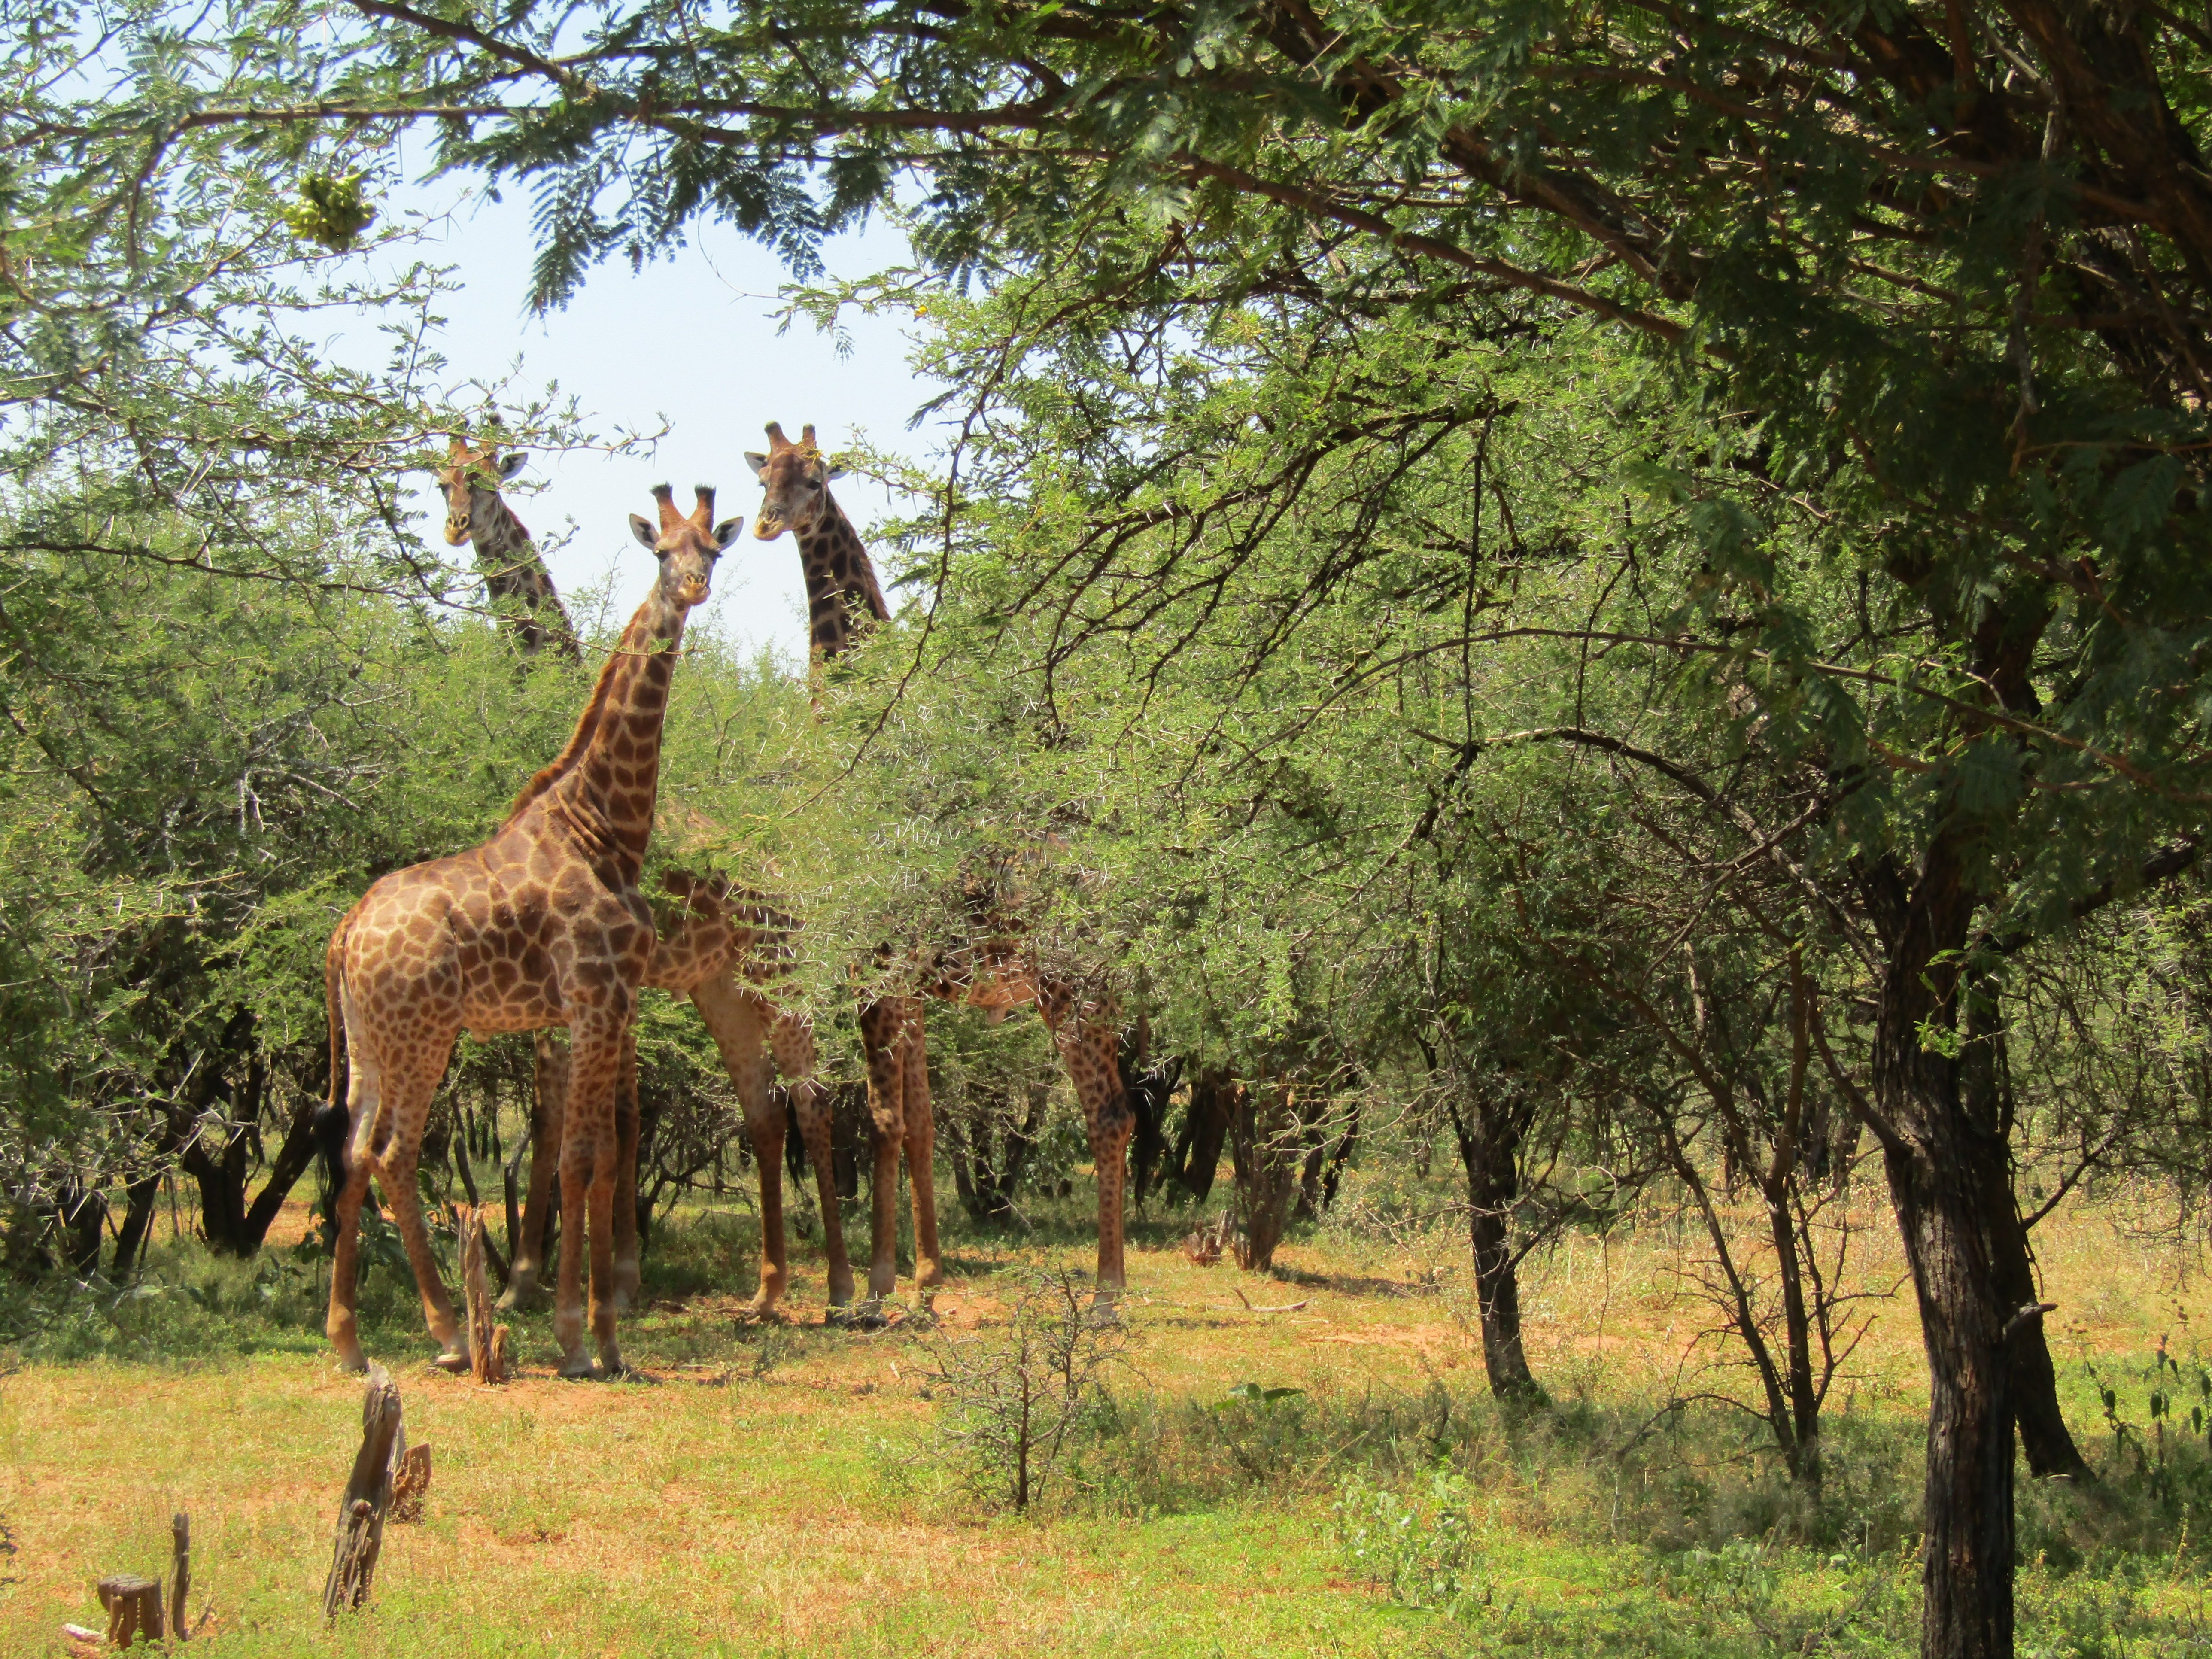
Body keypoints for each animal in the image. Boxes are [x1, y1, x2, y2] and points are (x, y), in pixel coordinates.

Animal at [322, 484, 737, 1377]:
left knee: (351, 1153)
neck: (604, 825)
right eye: (662, 552)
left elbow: (605, 1156)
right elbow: (584, 1158)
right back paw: (448, 1333)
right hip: (422, 1035)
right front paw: (581, 1336)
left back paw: (347, 1339)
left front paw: (601, 1333)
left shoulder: (606, 1004)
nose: (691, 588)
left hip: (369, 1041)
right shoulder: (596, 998)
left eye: (713, 549)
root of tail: (346, 928)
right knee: (395, 1155)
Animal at [745, 421, 1135, 1306]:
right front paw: (922, 1276)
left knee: (1105, 1112)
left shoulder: (872, 966)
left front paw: (879, 1285)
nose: (764, 524)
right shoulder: (910, 985)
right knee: (1122, 1112)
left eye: (816, 476)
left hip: (1065, 986)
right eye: (762, 474)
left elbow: (885, 1117)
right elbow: (917, 1121)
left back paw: (1104, 1294)